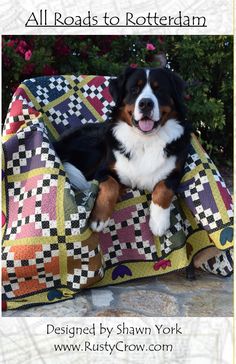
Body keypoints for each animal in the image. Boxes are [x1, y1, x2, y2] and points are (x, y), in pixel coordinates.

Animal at [53, 66, 190, 236]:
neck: (145, 141)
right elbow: (110, 186)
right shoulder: (103, 171)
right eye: (134, 90)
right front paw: (99, 218)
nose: (146, 103)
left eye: (159, 90)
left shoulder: (176, 172)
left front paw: (159, 222)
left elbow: (163, 188)